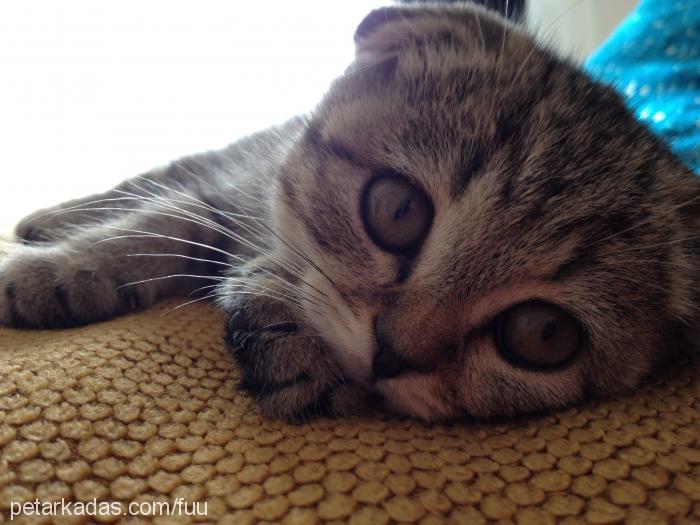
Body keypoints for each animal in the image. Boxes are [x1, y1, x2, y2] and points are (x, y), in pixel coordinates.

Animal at [1, 2, 700, 422]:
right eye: (397, 209)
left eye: (545, 336)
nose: (391, 354)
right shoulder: (229, 193)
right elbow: (152, 226)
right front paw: (50, 274)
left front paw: (294, 344)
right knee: (163, 175)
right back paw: (47, 220)